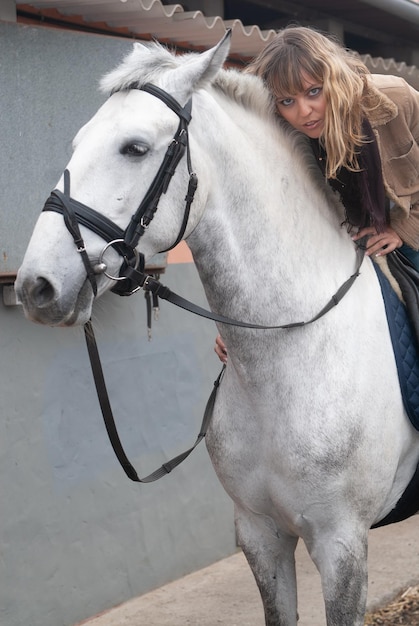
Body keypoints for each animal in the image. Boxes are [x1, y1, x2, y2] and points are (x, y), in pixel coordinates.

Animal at [14, 31, 419, 620]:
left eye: (134, 147)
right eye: (78, 142)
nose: (35, 287)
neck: (289, 357)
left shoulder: (343, 545)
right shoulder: (259, 534)